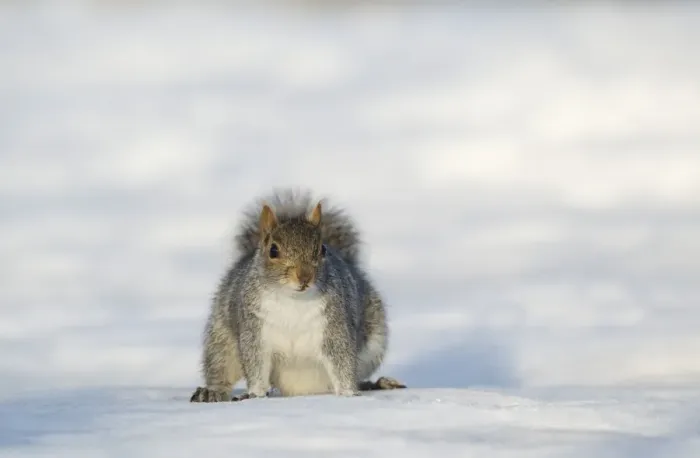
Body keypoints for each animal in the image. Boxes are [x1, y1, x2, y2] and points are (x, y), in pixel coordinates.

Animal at [190, 189, 406, 402]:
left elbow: (342, 362)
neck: (293, 300)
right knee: (220, 368)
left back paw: (377, 383)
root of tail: (301, 390)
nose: (304, 277)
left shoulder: (334, 327)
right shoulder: (255, 332)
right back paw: (212, 391)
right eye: (273, 250)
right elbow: (256, 366)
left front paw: (349, 394)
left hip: (373, 346)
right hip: (221, 342)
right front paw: (255, 395)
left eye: (322, 249)